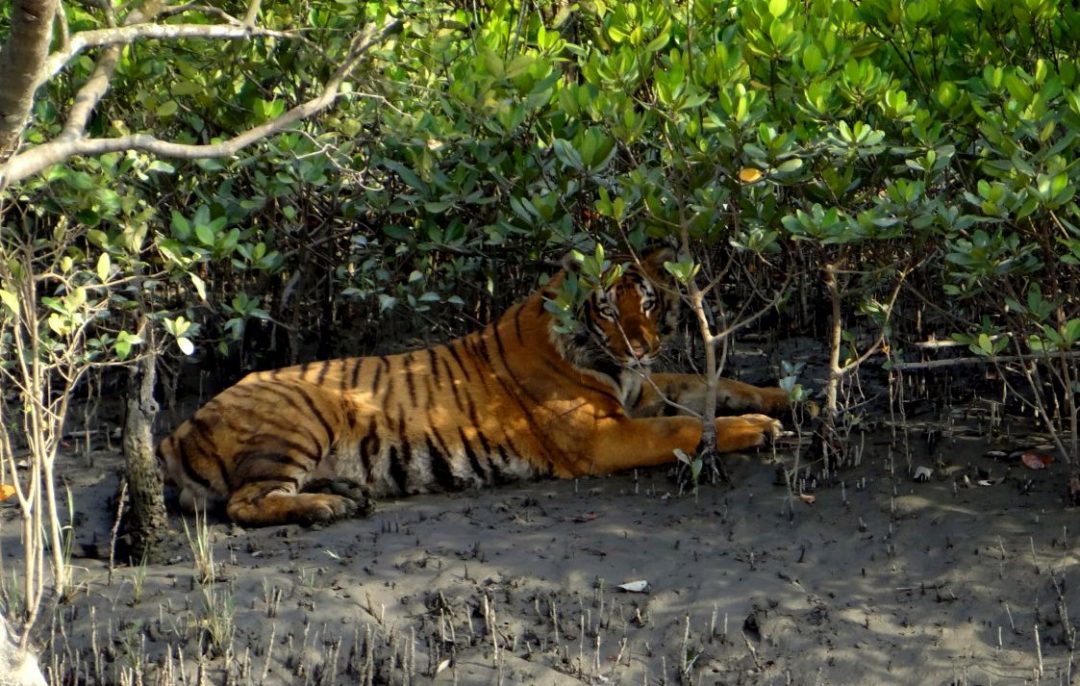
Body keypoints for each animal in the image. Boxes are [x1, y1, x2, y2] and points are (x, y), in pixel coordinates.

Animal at [158, 248, 790, 527]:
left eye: (650, 303)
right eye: (609, 309)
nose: (640, 347)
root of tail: (177, 430)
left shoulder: (643, 392)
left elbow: (707, 384)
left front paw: (779, 398)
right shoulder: (604, 436)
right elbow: (684, 426)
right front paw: (761, 428)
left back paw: (347, 492)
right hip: (299, 421)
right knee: (243, 504)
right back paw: (328, 506)